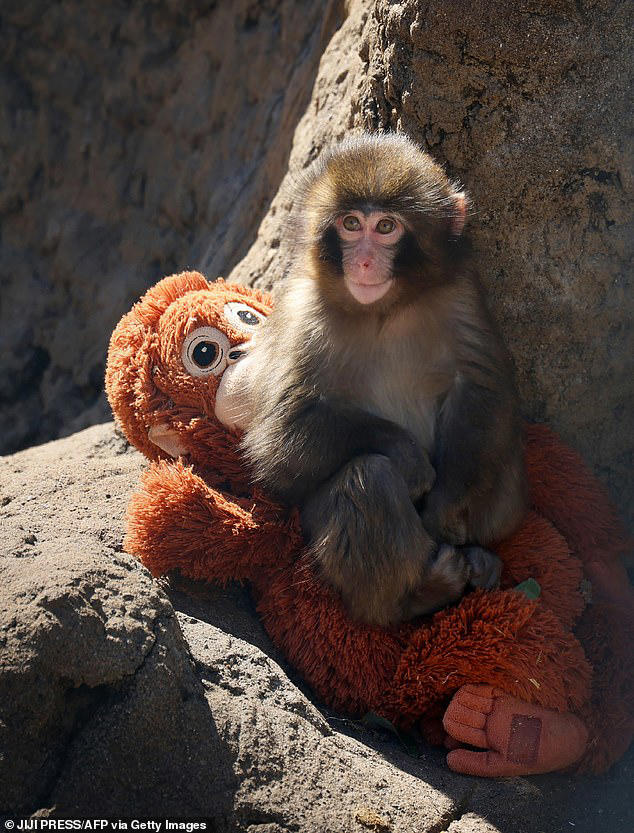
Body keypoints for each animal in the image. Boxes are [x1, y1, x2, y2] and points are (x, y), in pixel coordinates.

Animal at [241, 132, 527, 627]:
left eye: (386, 227)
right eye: (352, 224)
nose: (364, 262)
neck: (384, 310)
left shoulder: (460, 293)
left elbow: (480, 389)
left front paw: (444, 508)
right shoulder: (302, 311)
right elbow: (281, 437)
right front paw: (408, 456)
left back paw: (480, 557)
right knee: (368, 478)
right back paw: (419, 595)